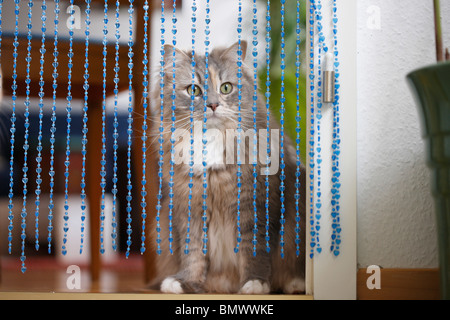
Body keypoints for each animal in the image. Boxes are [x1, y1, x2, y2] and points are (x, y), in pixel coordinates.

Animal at [148, 41, 306, 294]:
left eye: (226, 88)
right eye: (193, 90)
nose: (213, 104)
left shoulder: (254, 205)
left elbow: (254, 250)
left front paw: (255, 284)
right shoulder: (189, 208)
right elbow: (193, 252)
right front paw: (185, 282)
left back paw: (295, 284)